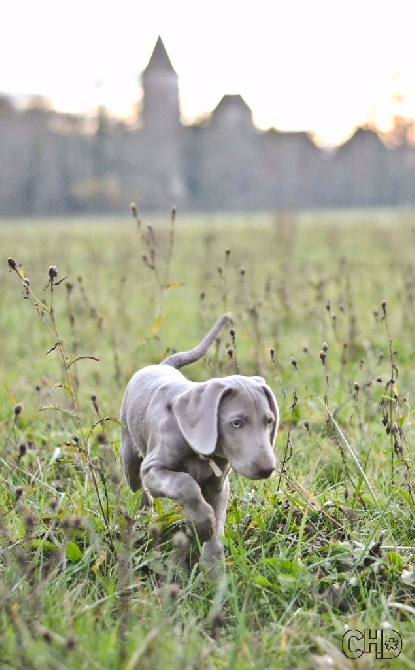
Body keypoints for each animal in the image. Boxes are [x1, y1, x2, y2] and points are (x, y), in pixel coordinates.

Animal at [120, 316, 280, 572]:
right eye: (236, 423)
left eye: (269, 421)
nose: (267, 469)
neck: (201, 452)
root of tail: (163, 365)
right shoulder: (153, 470)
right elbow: (185, 483)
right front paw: (203, 524)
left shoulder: (218, 486)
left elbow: (217, 527)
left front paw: (215, 569)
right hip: (130, 457)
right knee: (140, 491)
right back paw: (144, 520)